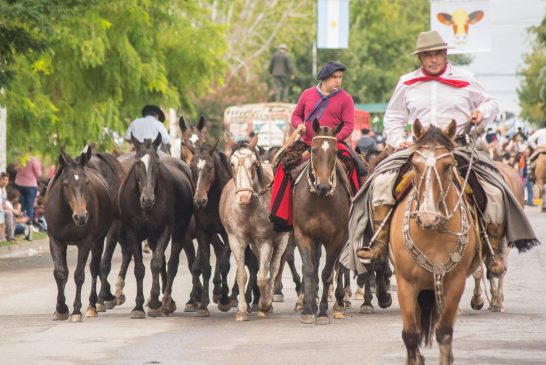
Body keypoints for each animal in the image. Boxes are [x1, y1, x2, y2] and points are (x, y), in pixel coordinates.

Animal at [44, 149, 112, 320]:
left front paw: (75, 310)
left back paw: (92, 306)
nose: (81, 217)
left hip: (99, 240)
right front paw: (61, 309)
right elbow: (60, 272)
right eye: (65, 184)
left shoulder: (85, 242)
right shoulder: (55, 240)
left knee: (94, 268)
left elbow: (79, 275)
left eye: (86, 182)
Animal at [118, 134, 194, 318]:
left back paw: (170, 302)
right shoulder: (132, 232)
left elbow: (156, 263)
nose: (148, 200)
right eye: (137, 162)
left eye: (158, 163)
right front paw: (138, 307)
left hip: (180, 231)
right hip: (152, 237)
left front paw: (153, 301)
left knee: (172, 262)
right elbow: (139, 268)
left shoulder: (165, 229)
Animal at [220, 135, 292, 320]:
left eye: (254, 164)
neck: (249, 209)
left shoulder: (265, 241)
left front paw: (264, 305)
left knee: (273, 269)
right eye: (231, 164)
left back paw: (267, 303)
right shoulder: (236, 240)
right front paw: (241, 310)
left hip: (282, 239)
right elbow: (242, 275)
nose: (244, 196)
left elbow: (263, 277)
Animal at [294, 120, 348, 324]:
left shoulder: (338, 238)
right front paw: (308, 309)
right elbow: (309, 269)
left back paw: (339, 303)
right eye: (313, 149)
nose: (323, 186)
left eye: (336, 151)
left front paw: (323, 311)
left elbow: (327, 272)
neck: (320, 200)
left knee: (337, 267)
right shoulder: (302, 234)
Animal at [386, 121, 476, 362]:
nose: (428, 217)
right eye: (415, 165)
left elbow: (444, 334)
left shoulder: (455, 284)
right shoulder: (406, 284)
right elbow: (410, 335)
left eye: (447, 165)